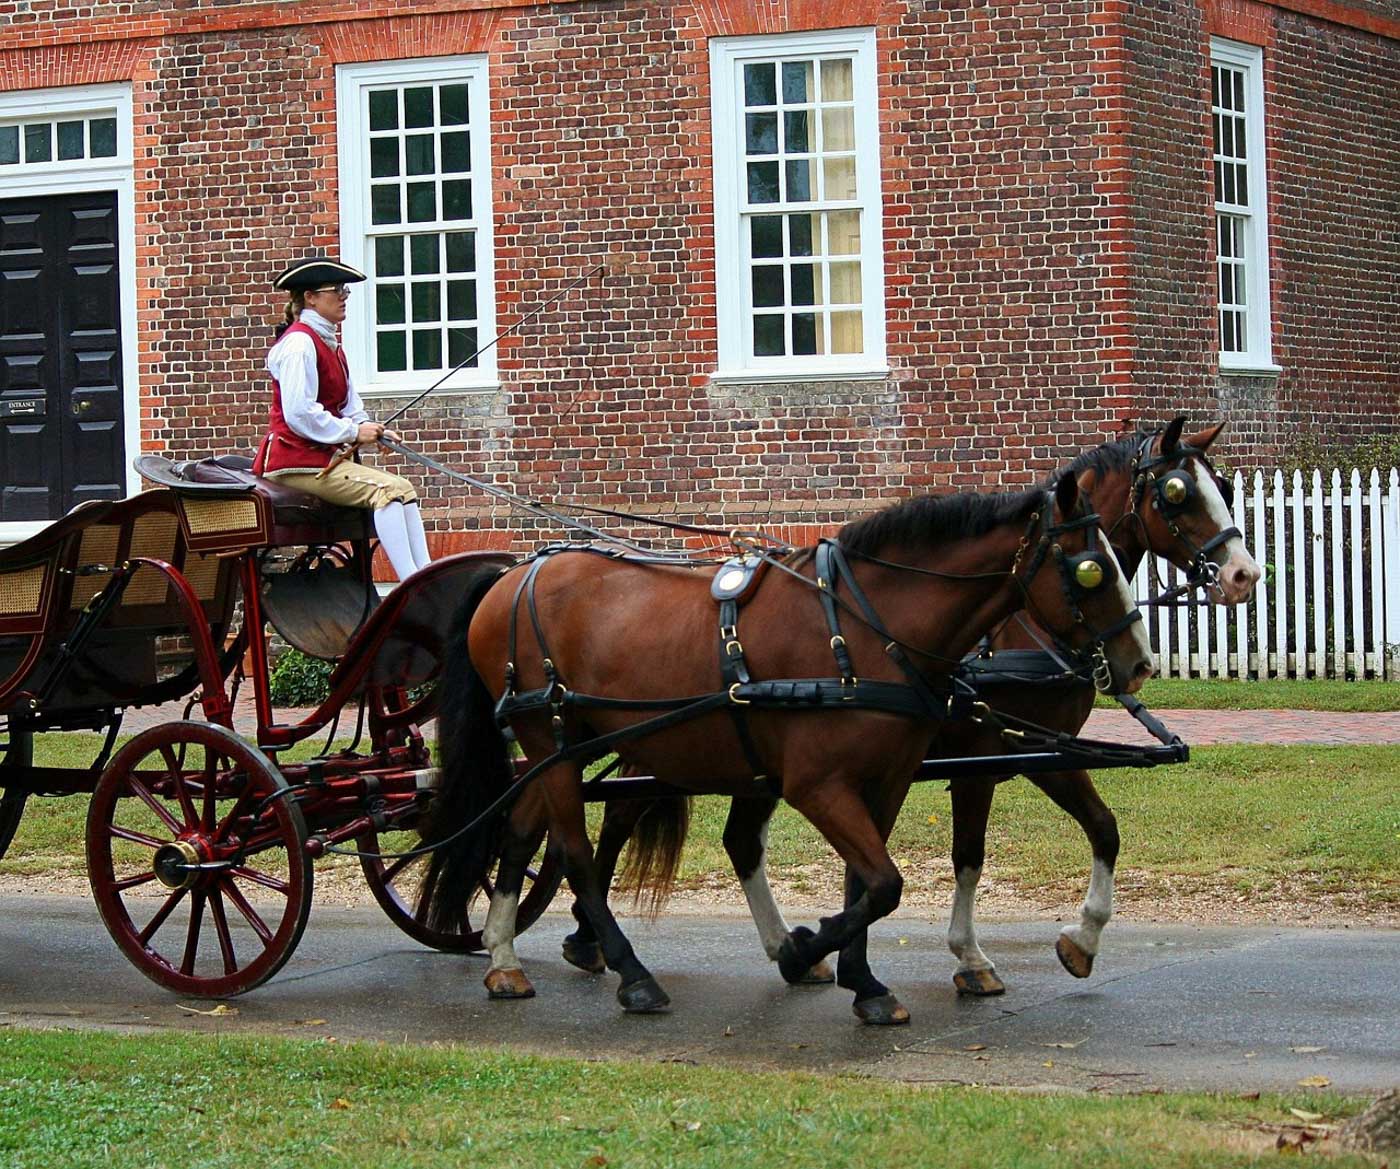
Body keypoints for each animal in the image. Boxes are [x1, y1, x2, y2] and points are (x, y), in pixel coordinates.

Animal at [421, 470, 1154, 1023]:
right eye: (1090, 569)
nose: (1139, 662)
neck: (862, 630)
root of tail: (512, 576)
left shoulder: (888, 779)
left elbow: (870, 882)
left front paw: (860, 980)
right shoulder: (822, 784)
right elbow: (886, 881)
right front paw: (811, 953)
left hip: (566, 748)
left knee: (522, 832)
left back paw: (504, 955)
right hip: (556, 738)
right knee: (573, 850)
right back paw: (630, 971)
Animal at [562, 416, 1260, 1002]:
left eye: (1224, 485)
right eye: (1177, 493)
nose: (1245, 576)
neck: (1019, 627)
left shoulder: (1042, 749)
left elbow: (1104, 829)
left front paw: (1080, 941)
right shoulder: (985, 758)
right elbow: (969, 855)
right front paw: (970, 958)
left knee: (733, 838)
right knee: (619, 814)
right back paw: (589, 938)